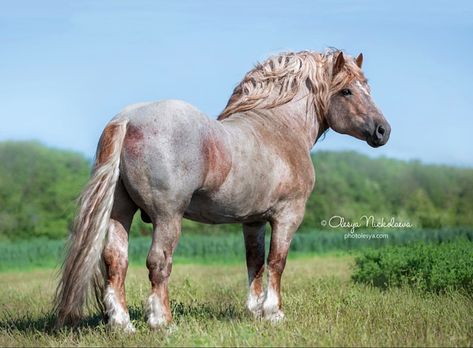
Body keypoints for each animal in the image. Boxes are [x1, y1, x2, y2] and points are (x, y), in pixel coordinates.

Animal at [52, 49, 390, 332]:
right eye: (346, 91)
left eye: (367, 88)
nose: (383, 130)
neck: (279, 127)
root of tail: (127, 119)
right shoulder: (288, 215)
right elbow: (277, 261)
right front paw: (274, 313)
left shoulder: (253, 220)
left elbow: (255, 261)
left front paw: (254, 311)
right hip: (167, 217)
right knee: (158, 262)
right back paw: (163, 322)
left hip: (120, 212)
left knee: (115, 261)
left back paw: (123, 325)